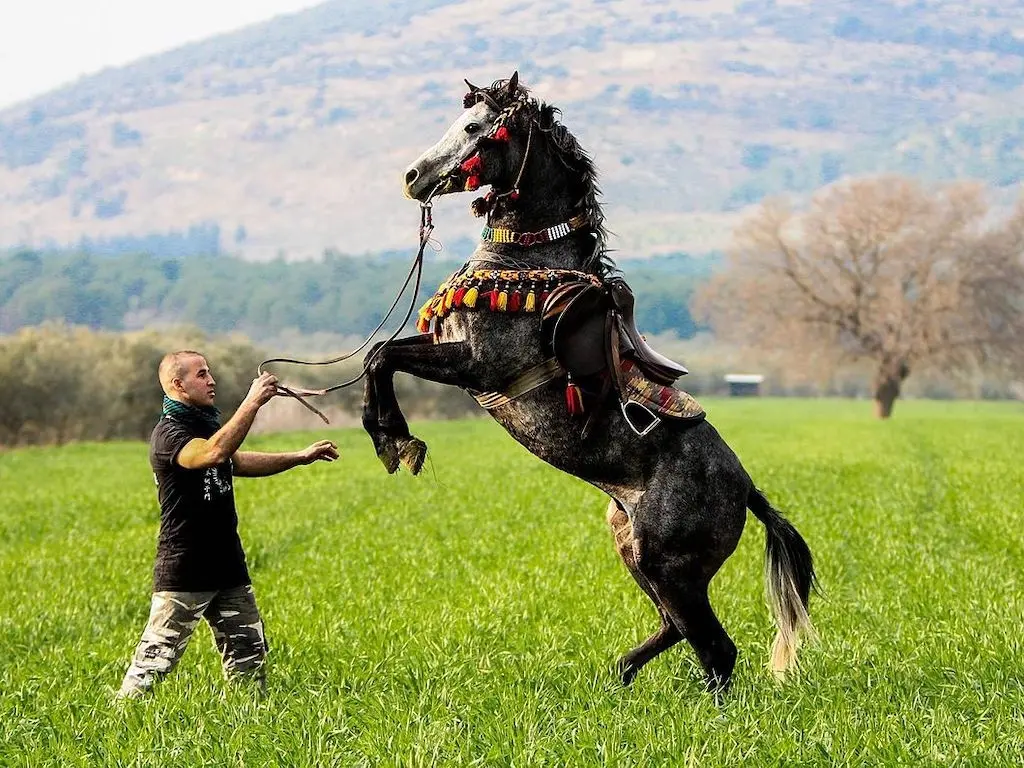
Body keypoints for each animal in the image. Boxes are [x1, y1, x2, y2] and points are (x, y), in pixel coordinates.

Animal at [360, 75, 815, 696]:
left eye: (475, 128)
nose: (412, 177)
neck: (527, 261)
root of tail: (747, 491)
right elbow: (380, 356)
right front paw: (391, 438)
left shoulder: (476, 365)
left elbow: (383, 357)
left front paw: (397, 441)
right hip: (633, 550)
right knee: (676, 630)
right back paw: (619, 676)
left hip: (667, 564)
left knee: (715, 649)